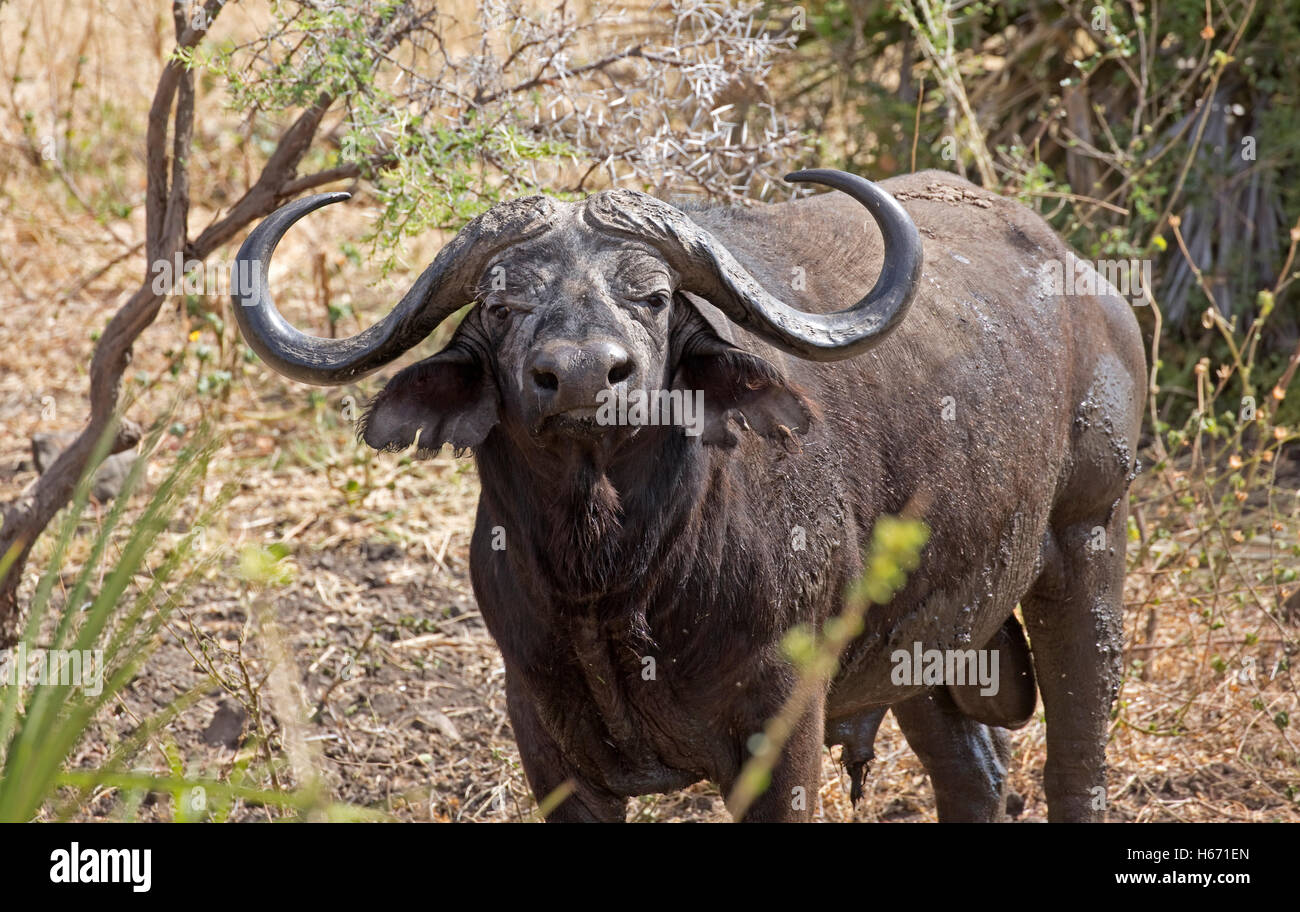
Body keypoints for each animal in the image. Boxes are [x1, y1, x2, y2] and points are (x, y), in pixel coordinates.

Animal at [233, 167, 1149, 826]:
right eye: (501, 302)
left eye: (654, 295)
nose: (581, 376)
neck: (613, 578)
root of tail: (1091, 289)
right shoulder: (548, 746)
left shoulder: (783, 736)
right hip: (924, 642)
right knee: (974, 779)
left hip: (1088, 541)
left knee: (1076, 767)